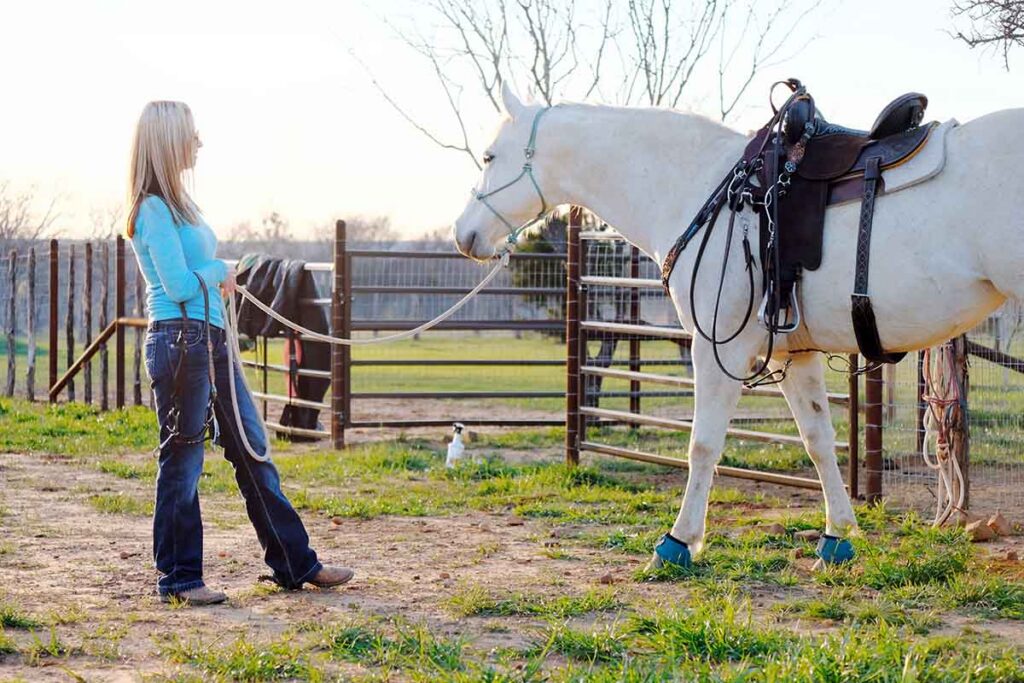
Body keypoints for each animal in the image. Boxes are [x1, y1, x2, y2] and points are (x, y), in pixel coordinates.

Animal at [452, 83, 1024, 569]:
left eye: (489, 156)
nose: (463, 235)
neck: (707, 190)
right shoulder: (794, 354)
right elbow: (818, 440)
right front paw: (837, 537)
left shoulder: (715, 348)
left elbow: (703, 445)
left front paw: (678, 543)